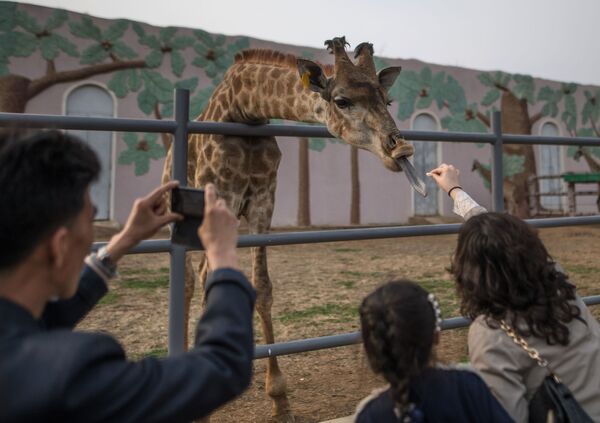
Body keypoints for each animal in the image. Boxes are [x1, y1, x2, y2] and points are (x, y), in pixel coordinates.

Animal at [162, 37, 414, 423]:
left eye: (386, 101)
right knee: (191, 280)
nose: (399, 148)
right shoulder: (218, 197)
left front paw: (280, 399)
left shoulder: (264, 201)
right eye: (342, 100)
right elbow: (210, 283)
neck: (244, 110)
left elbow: (263, 287)